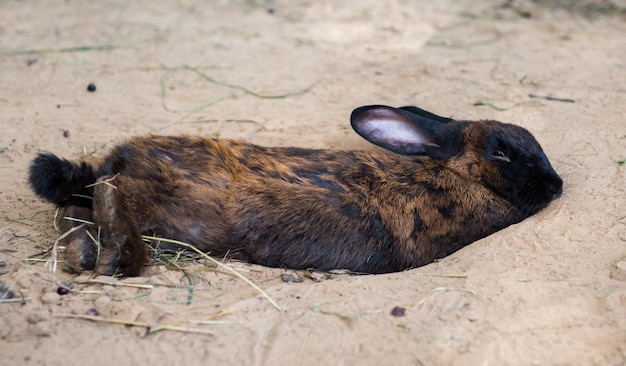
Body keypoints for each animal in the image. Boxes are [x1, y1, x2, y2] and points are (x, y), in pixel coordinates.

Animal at [28, 104, 560, 276]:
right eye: (502, 152)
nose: (556, 186)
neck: (461, 176)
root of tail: (116, 161)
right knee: (106, 200)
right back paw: (115, 258)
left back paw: (82, 255)